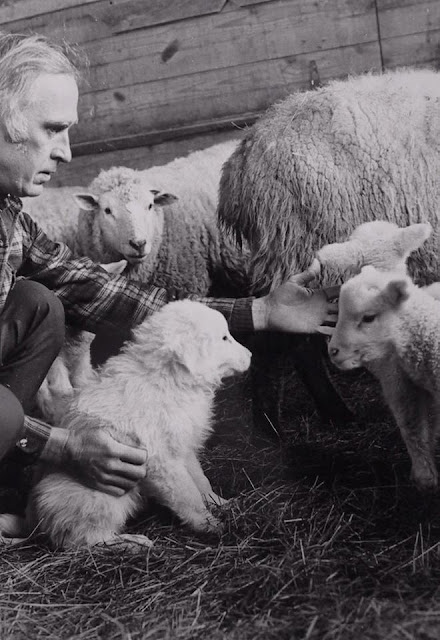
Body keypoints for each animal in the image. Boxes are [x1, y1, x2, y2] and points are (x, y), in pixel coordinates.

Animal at [1, 300, 251, 549]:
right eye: (224, 338)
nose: (250, 354)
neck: (167, 380)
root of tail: (32, 520)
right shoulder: (161, 461)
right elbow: (187, 495)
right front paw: (209, 524)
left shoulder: (183, 447)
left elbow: (201, 481)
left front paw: (221, 502)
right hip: (101, 496)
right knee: (83, 539)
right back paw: (131, 542)